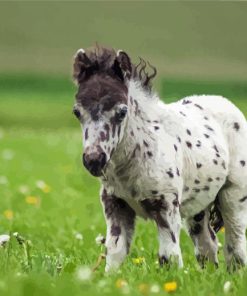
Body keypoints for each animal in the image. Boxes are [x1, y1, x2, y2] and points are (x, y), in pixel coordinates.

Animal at [72, 45, 247, 272]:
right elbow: (115, 253)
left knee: (235, 244)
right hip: (199, 204)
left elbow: (169, 257)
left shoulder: (166, 205)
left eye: (122, 112)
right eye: (77, 112)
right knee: (207, 244)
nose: (94, 159)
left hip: (233, 195)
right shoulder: (116, 204)